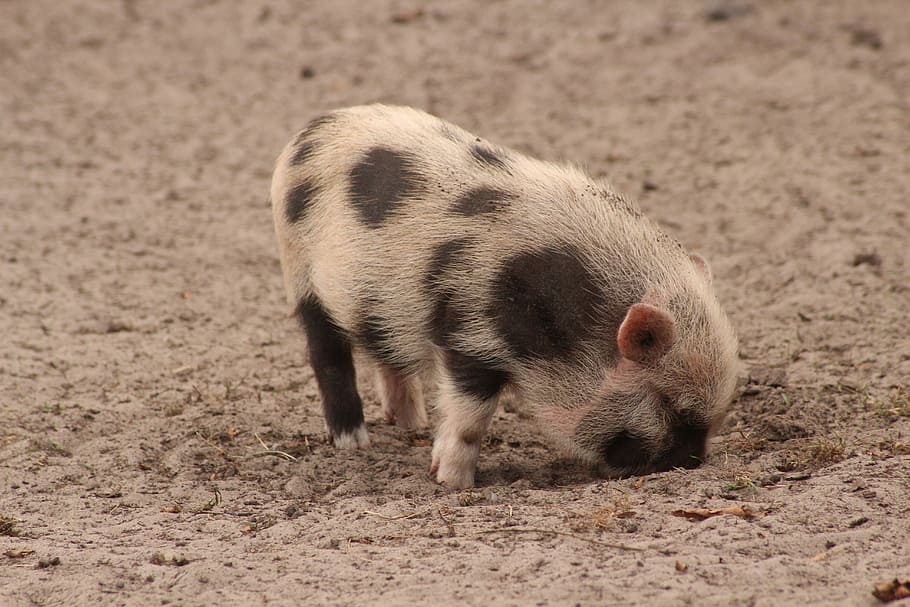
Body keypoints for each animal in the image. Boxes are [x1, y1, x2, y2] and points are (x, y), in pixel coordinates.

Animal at [270, 104, 739, 489]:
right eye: (671, 406)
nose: (692, 463)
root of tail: (310, 131)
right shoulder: (468, 330)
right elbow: (470, 416)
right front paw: (452, 484)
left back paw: (411, 426)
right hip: (301, 272)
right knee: (327, 355)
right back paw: (354, 443)